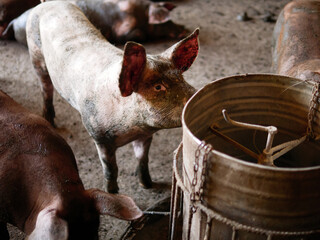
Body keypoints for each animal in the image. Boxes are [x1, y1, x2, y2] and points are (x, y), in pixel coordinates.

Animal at [26, 0, 199, 193]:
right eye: (158, 86)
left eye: (181, 78)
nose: (196, 94)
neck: (132, 128)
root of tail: (48, 3)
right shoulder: (99, 137)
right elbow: (111, 170)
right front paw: (113, 192)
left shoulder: (145, 135)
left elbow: (142, 158)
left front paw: (147, 185)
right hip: (35, 53)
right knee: (45, 87)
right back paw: (50, 120)